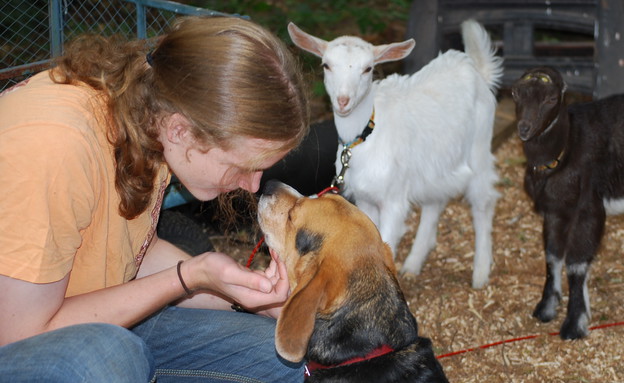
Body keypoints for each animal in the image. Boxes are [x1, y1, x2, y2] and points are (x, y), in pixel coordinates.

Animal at [288, 18, 502, 288]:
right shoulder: (366, 199)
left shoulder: (394, 199)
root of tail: (476, 70)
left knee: (484, 201)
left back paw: (481, 273)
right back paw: (414, 263)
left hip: (479, 146)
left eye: (368, 69)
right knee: (435, 201)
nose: (343, 101)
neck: (367, 136)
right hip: (436, 162)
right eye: (326, 65)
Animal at [512, 67, 624, 340]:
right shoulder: (555, 209)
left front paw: (574, 323)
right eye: (515, 93)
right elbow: (553, 255)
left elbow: (576, 263)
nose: (525, 129)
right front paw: (546, 308)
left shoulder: (588, 208)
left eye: (551, 99)